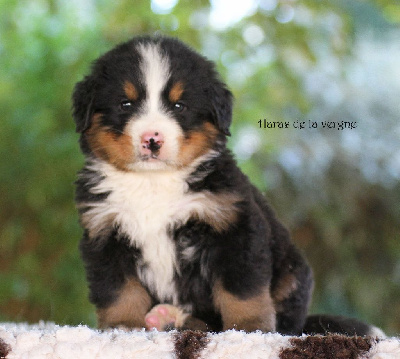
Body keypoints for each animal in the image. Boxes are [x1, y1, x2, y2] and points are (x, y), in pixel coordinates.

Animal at [72, 35, 378, 336]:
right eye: (126, 104)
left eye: (179, 106)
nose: (152, 139)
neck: (153, 181)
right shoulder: (105, 232)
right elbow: (119, 290)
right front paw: (123, 328)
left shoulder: (233, 227)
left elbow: (242, 290)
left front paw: (250, 329)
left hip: (292, 273)